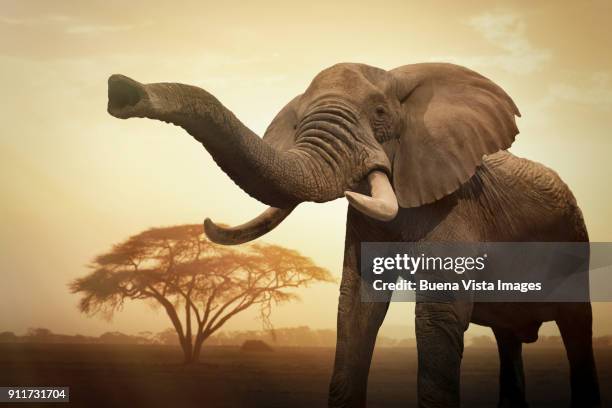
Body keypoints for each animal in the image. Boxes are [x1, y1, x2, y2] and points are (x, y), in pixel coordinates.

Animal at [107, 62, 600, 406]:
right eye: (299, 122)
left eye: (380, 114)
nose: (120, 91)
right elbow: (355, 311)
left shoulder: (458, 206)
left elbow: (437, 315)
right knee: (508, 339)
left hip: (575, 240)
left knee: (576, 327)